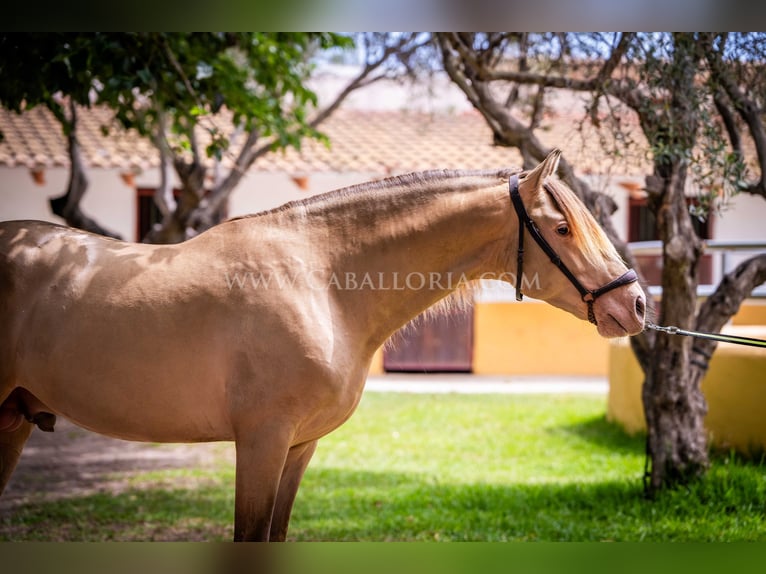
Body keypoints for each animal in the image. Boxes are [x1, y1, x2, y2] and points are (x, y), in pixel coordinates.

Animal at [0, 151, 648, 544]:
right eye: (562, 228)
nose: (636, 305)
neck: (320, 280)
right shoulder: (261, 442)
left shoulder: (299, 447)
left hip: (13, 422)